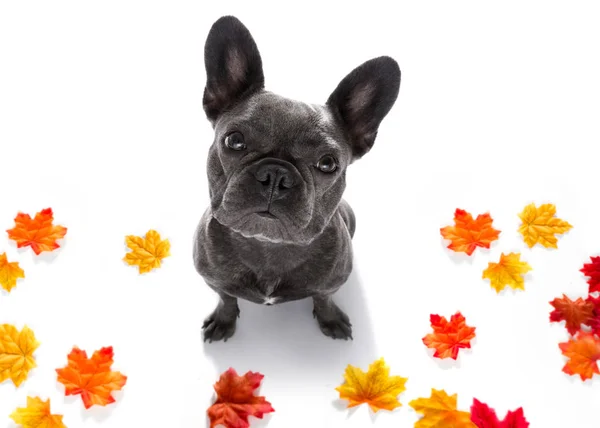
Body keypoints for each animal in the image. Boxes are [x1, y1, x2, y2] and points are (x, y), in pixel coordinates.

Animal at [195, 16, 400, 342]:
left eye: (328, 164)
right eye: (234, 140)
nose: (276, 175)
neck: (269, 245)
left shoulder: (331, 284)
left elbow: (323, 297)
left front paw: (330, 319)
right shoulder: (213, 280)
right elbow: (226, 298)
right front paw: (224, 320)